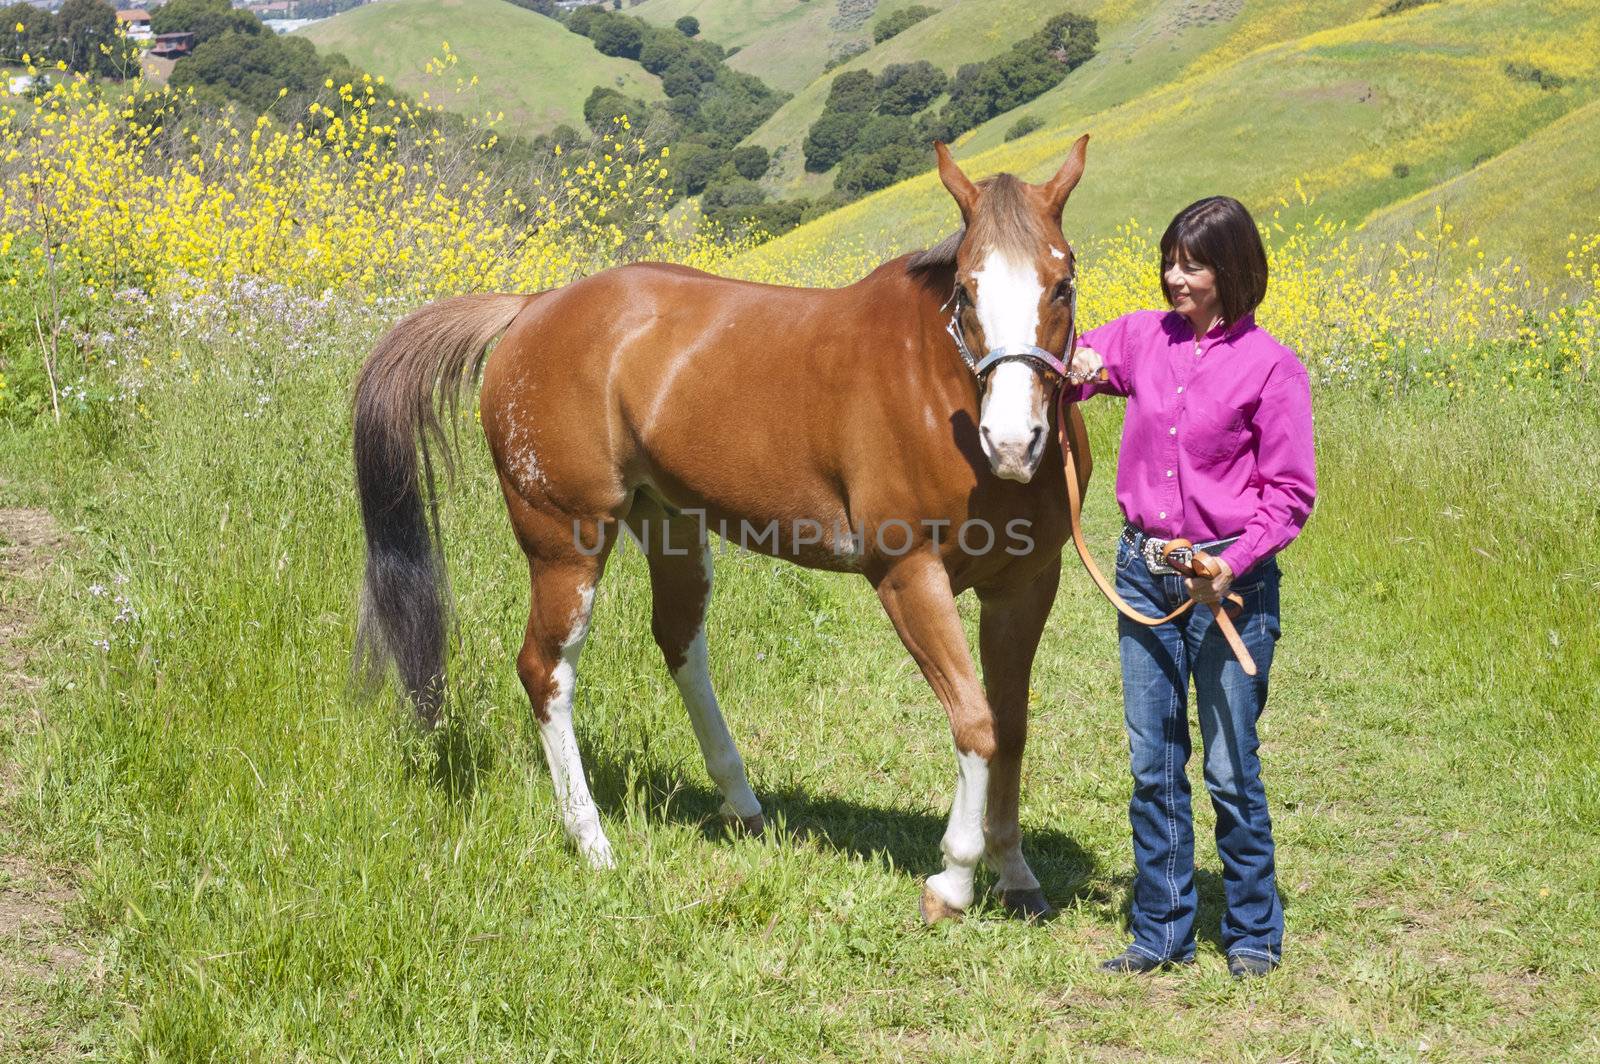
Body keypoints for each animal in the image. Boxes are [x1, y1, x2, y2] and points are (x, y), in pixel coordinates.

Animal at [355, 135, 1094, 921]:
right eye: (966, 291)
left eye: (1062, 285)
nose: (1013, 442)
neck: (934, 386)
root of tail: (532, 308)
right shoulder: (908, 576)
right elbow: (975, 722)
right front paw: (953, 878)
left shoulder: (1025, 585)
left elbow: (1011, 725)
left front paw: (1014, 871)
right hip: (566, 540)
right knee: (545, 669)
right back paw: (592, 842)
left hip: (671, 525)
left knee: (680, 641)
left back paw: (740, 802)